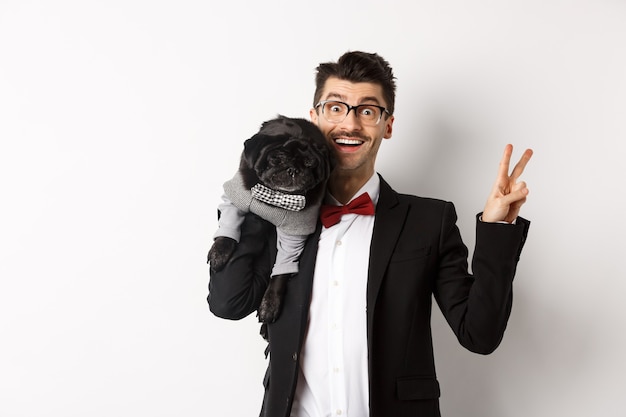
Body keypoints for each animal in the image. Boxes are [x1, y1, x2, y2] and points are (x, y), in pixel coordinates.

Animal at [207, 114, 332, 334]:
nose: (293, 170)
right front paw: (219, 252)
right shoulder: (236, 195)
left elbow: (280, 274)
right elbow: (228, 227)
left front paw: (270, 304)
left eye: (309, 162)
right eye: (277, 158)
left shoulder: (294, 233)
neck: (277, 196)